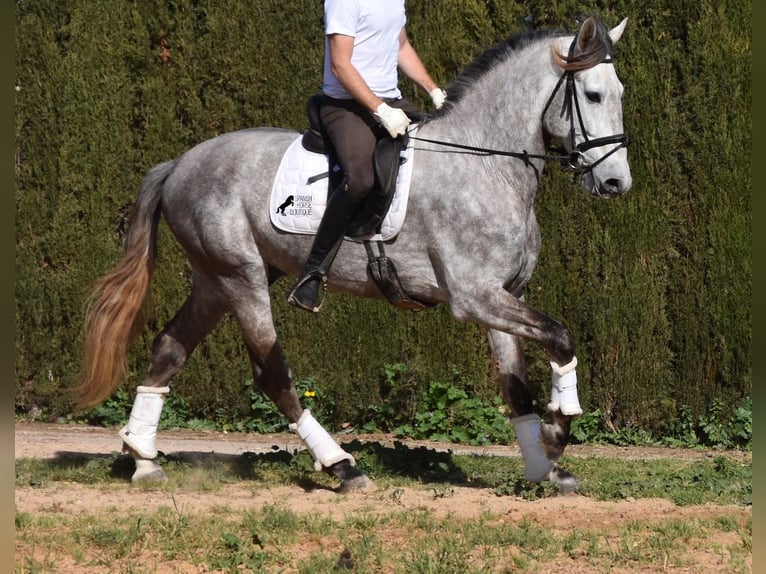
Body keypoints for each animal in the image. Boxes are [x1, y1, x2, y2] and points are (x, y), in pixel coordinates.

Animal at [75, 18, 632, 496]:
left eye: (620, 94)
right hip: (240, 278)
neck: (486, 165)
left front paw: (543, 467)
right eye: (593, 94)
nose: (615, 183)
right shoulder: (473, 297)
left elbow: (515, 385)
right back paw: (343, 467)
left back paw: (143, 458)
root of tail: (179, 164)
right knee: (272, 375)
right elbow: (560, 336)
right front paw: (559, 432)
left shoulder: (503, 295)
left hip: (213, 281)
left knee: (169, 349)